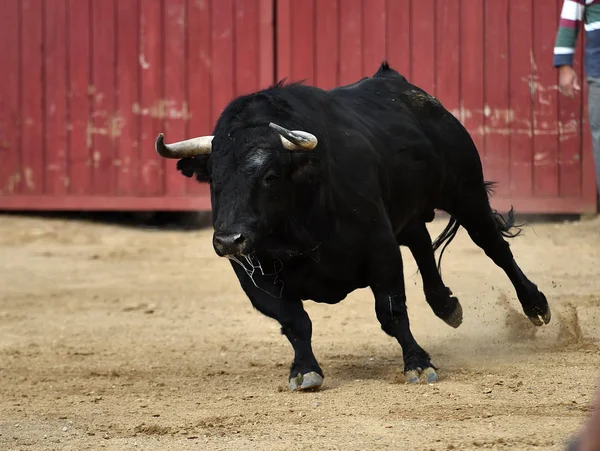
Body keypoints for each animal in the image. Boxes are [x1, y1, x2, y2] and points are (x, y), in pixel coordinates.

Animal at [154, 61, 548, 390]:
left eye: (269, 176)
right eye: (214, 181)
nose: (228, 240)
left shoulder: (380, 246)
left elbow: (390, 310)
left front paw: (418, 364)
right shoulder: (252, 273)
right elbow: (294, 320)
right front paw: (305, 371)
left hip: (465, 193)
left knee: (495, 247)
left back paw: (536, 306)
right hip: (407, 211)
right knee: (421, 243)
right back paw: (446, 305)